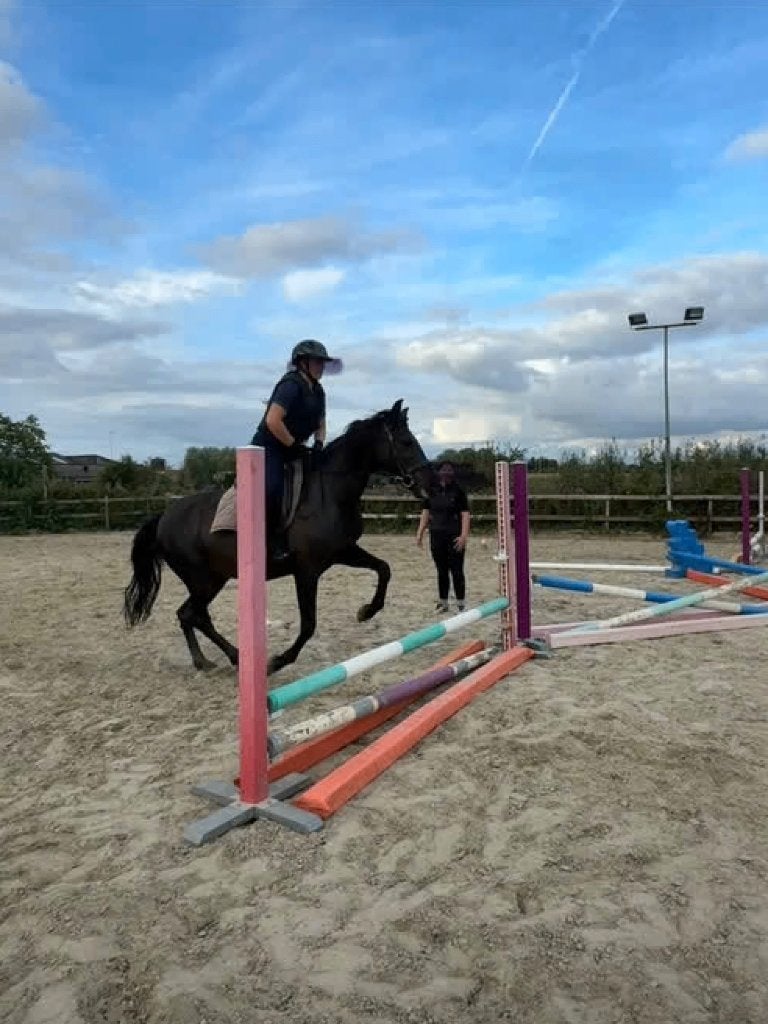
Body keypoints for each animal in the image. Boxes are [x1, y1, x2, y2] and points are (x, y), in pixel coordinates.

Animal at [123, 400, 432, 674]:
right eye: (406, 442)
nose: (428, 486)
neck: (331, 492)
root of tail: (164, 517)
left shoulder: (343, 552)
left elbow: (384, 568)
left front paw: (367, 611)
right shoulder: (307, 570)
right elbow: (308, 624)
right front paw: (279, 661)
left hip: (214, 578)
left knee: (190, 615)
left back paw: (211, 661)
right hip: (204, 580)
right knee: (192, 615)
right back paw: (231, 659)